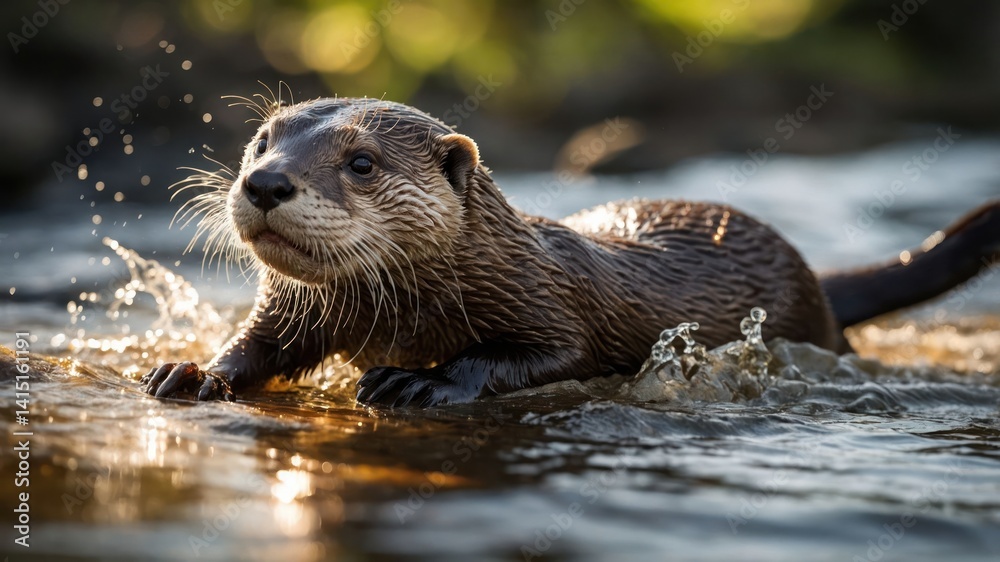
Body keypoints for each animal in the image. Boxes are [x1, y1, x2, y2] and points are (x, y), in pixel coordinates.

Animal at [141, 97, 1000, 407]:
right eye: (263, 139)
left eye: (360, 162)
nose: (265, 181)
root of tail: (817, 277)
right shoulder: (298, 311)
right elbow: (259, 347)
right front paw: (193, 370)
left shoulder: (551, 304)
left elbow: (550, 354)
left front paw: (420, 382)